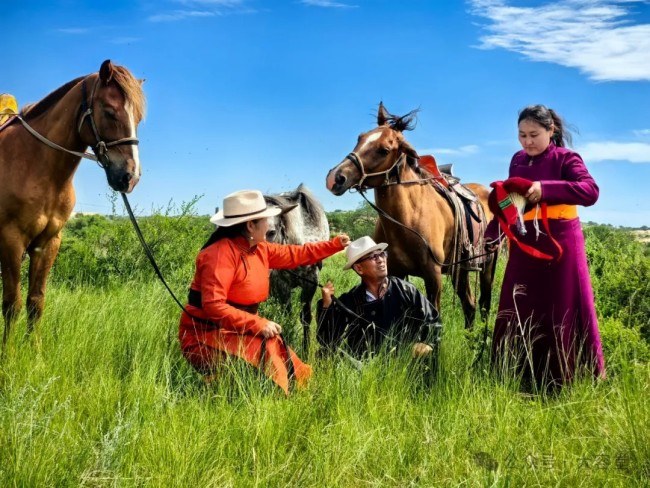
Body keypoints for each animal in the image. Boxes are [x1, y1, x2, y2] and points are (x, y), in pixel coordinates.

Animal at [324, 103, 496, 328]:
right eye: (360, 138)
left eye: (384, 150)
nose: (335, 178)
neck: (407, 219)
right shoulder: (395, 271)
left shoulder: (433, 276)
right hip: (462, 269)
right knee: (470, 303)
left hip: (487, 266)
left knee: (483, 303)